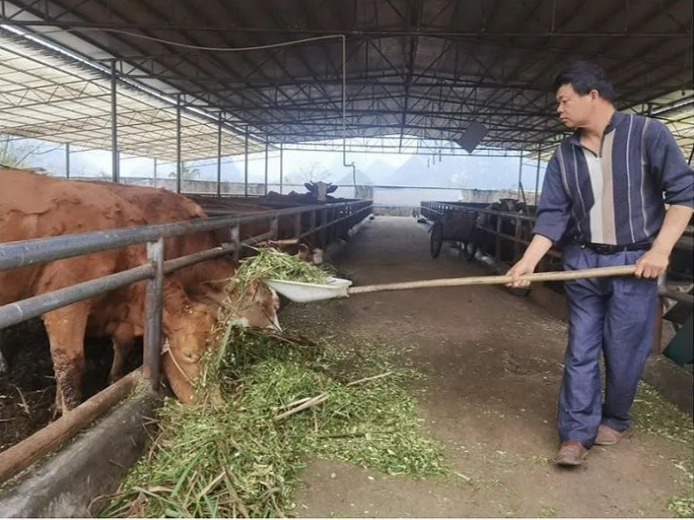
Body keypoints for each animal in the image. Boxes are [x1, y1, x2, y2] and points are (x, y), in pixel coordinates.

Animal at [0, 169, 217, 414]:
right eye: (189, 355)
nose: (215, 405)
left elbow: (120, 346)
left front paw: (111, 379)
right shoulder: (64, 303)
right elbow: (70, 367)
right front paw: (68, 413)